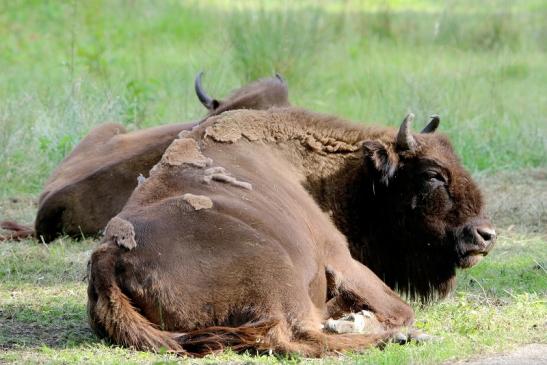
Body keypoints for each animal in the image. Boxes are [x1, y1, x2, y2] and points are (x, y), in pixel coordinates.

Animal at [89, 106, 496, 354]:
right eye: (432, 175)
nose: (486, 235)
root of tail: (108, 257)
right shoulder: (340, 256)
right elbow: (401, 307)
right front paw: (366, 320)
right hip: (274, 270)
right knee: (296, 336)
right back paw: (393, 335)